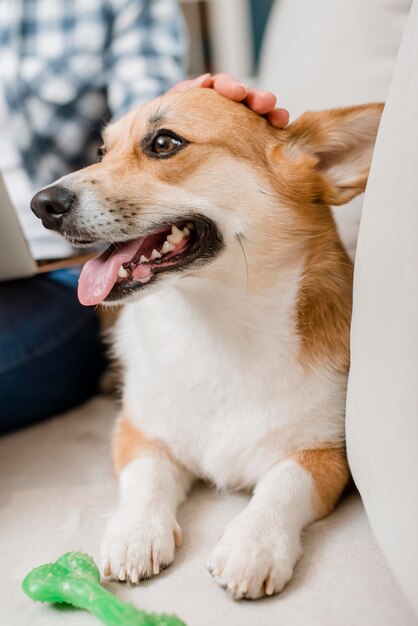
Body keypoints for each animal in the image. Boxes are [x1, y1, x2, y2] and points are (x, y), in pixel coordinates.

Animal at [31, 90, 384, 596]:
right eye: (101, 152)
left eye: (164, 143)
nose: (41, 204)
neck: (217, 325)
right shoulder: (138, 433)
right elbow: (146, 477)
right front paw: (135, 531)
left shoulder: (326, 456)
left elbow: (284, 484)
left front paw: (254, 542)